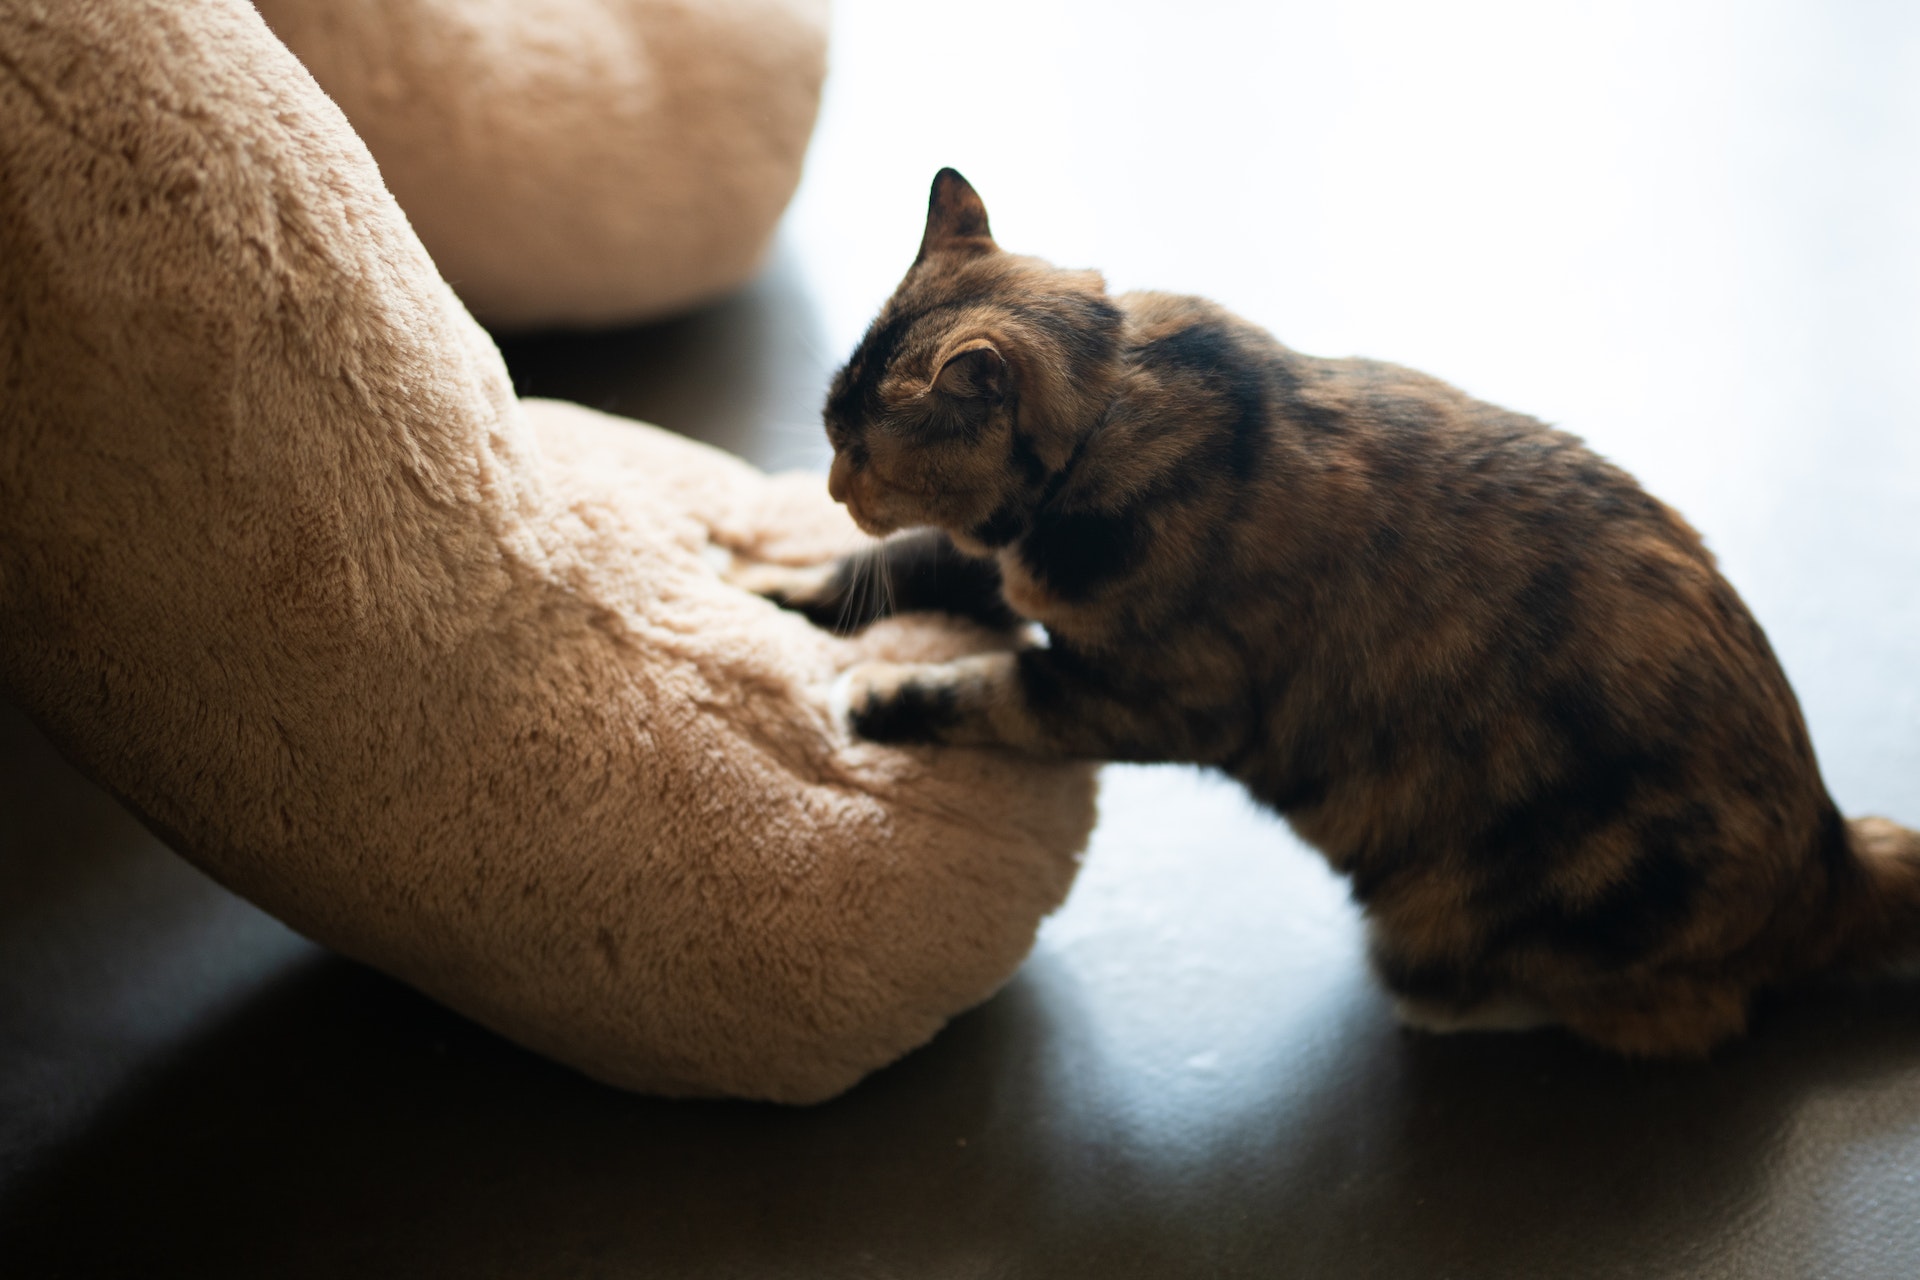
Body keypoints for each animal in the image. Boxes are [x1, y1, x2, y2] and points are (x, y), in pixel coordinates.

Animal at [744, 165, 1920, 1059]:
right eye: (830, 428)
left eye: (861, 447)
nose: (835, 483)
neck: (1112, 403)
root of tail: (1832, 852)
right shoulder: (999, 562)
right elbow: (917, 558)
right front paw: (773, 583)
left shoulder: (1155, 699)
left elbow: (990, 683)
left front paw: (878, 693)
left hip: (1524, 903)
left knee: (1677, 1017)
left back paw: (1451, 1005)